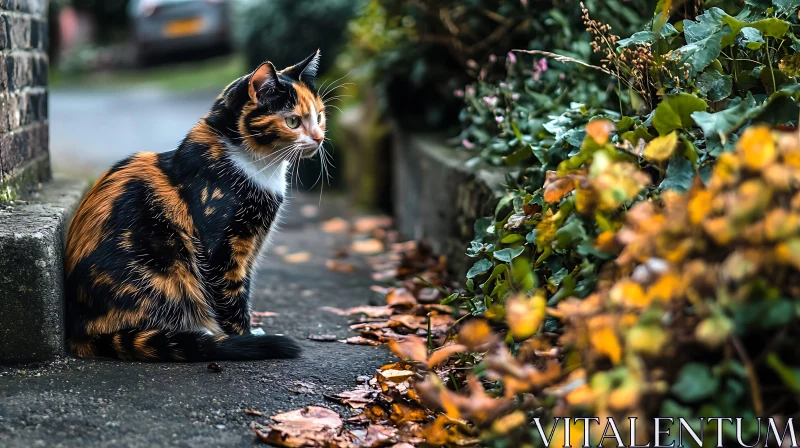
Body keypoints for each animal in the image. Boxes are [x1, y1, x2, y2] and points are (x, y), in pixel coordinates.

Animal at [61, 50, 324, 362]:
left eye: (319, 116)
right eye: (293, 122)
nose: (320, 138)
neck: (256, 166)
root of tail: (80, 333)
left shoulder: (250, 250)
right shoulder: (223, 250)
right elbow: (232, 298)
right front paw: (242, 337)